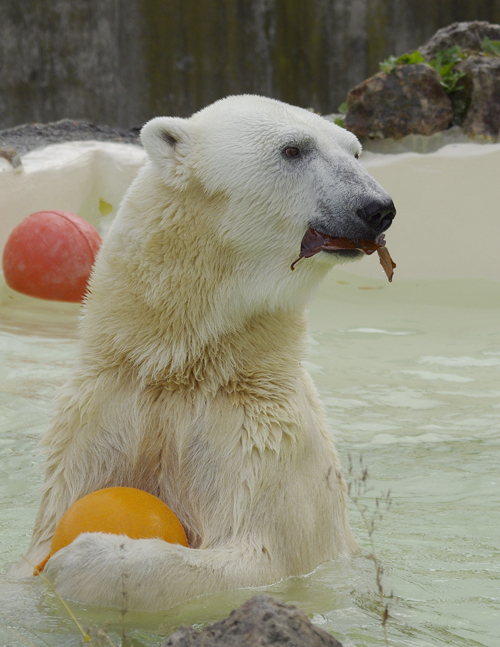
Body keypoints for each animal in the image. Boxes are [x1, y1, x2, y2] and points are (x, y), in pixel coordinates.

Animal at [23, 93, 396, 612]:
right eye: (293, 149)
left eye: (355, 151)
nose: (377, 207)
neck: (183, 365)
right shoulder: (100, 415)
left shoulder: (261, 437)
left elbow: (255, 558)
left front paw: (83, 558)